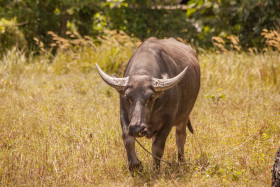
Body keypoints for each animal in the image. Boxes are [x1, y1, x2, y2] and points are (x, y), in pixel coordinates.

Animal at [95, 37, 199, 172]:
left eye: (151, 97)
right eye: (127, 97)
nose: (137, 128)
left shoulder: (169, 119)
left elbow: (158, 147)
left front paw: (155, 169)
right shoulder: (124, 115)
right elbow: (127, 139)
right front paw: (135, 166)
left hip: (184, 116)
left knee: (180, 137)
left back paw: (181, 162)